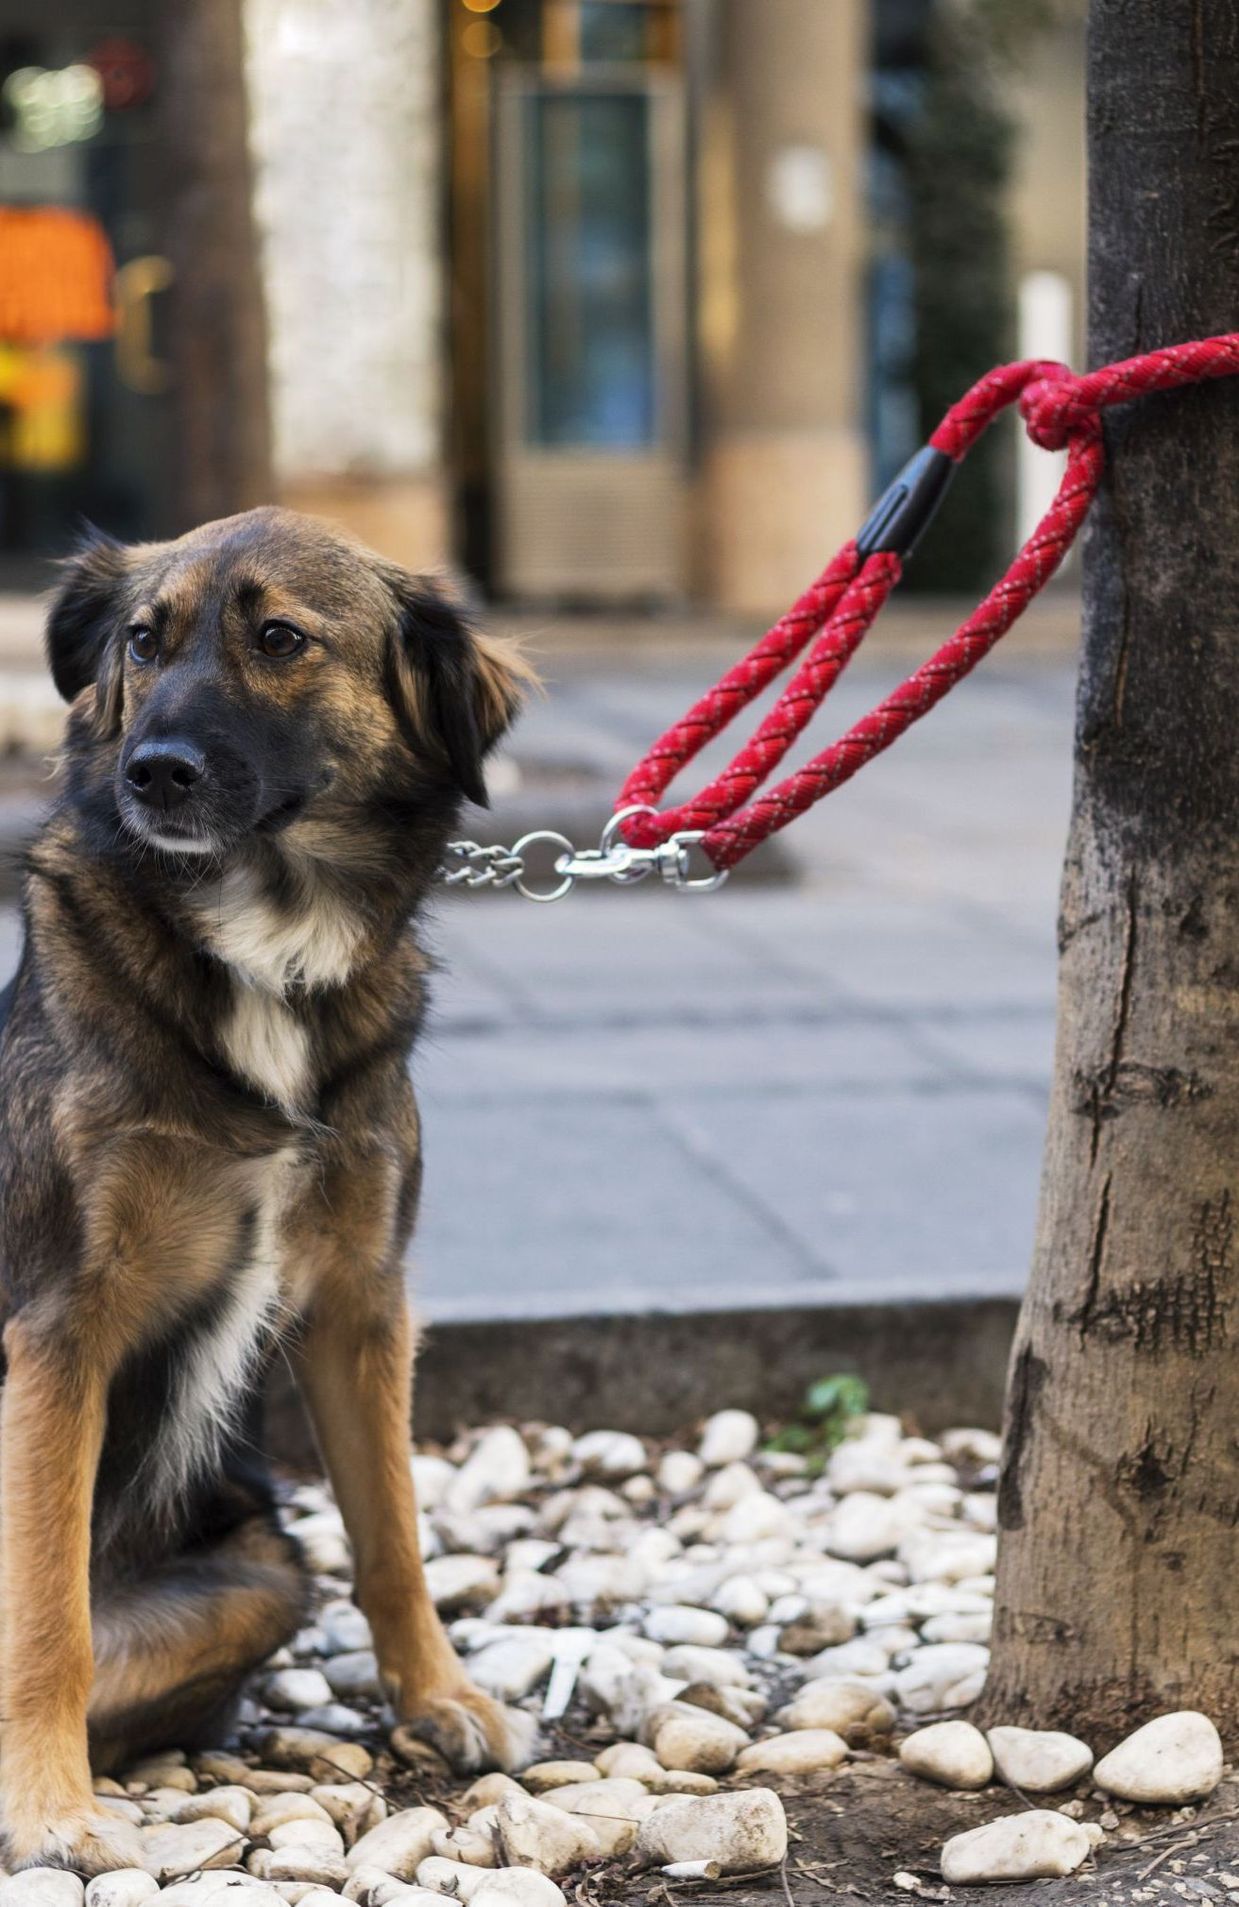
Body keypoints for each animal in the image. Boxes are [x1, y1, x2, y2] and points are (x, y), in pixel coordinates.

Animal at [0, 507, 533, 1876]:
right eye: (145, 639)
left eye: (281, 639)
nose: (152, 772)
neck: (265, 948)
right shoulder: (56, 1327)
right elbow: (47, 1614)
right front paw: (53, 1804)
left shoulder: (362, 1299)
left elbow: (394, 1531)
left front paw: (438, 1694)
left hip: (255, 1573)